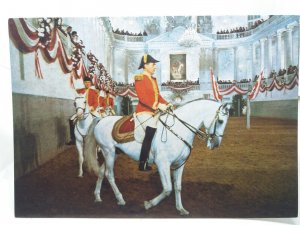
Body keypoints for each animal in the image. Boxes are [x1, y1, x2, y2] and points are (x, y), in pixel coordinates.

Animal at [83, 100, 231, 214]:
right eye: (221, 121)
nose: (216, 144)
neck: (179, 130)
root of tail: (101, 120)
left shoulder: (179, 165)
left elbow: (177, 187)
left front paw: (180, 209)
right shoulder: (163, 164)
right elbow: (167, 188)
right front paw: (148, 204)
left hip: (114, 154)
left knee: (102, 172)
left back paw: (97, 197)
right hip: (109, 152)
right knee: (109, 175)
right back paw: (120, 199)